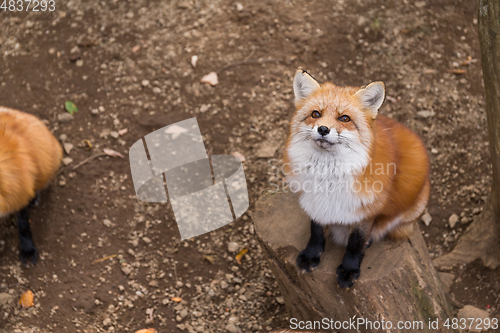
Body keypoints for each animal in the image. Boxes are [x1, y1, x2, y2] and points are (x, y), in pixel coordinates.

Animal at [282, 70, 430, 288]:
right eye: (316, 114)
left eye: (344, 118)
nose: (323, 129)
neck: (328, 178)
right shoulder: (314, 201)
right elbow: (315, 230)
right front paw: (311, 255)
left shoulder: (366, 210)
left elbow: (355, 243)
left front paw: (349, 269)